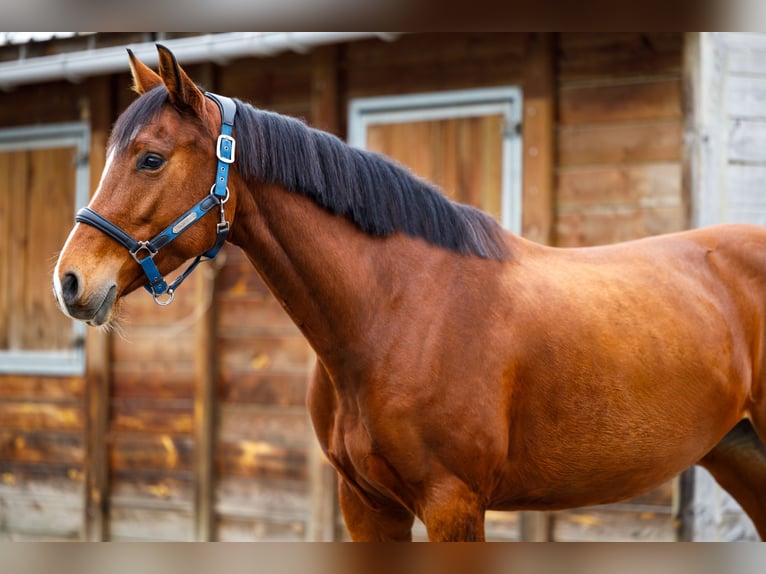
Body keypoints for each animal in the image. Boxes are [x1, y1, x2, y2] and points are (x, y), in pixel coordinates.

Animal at [53, 45, 766, 541]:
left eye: (150, 158)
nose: (71, 281)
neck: (396, 311)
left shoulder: (454, 505)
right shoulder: (368, 507)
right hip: (740, 455)